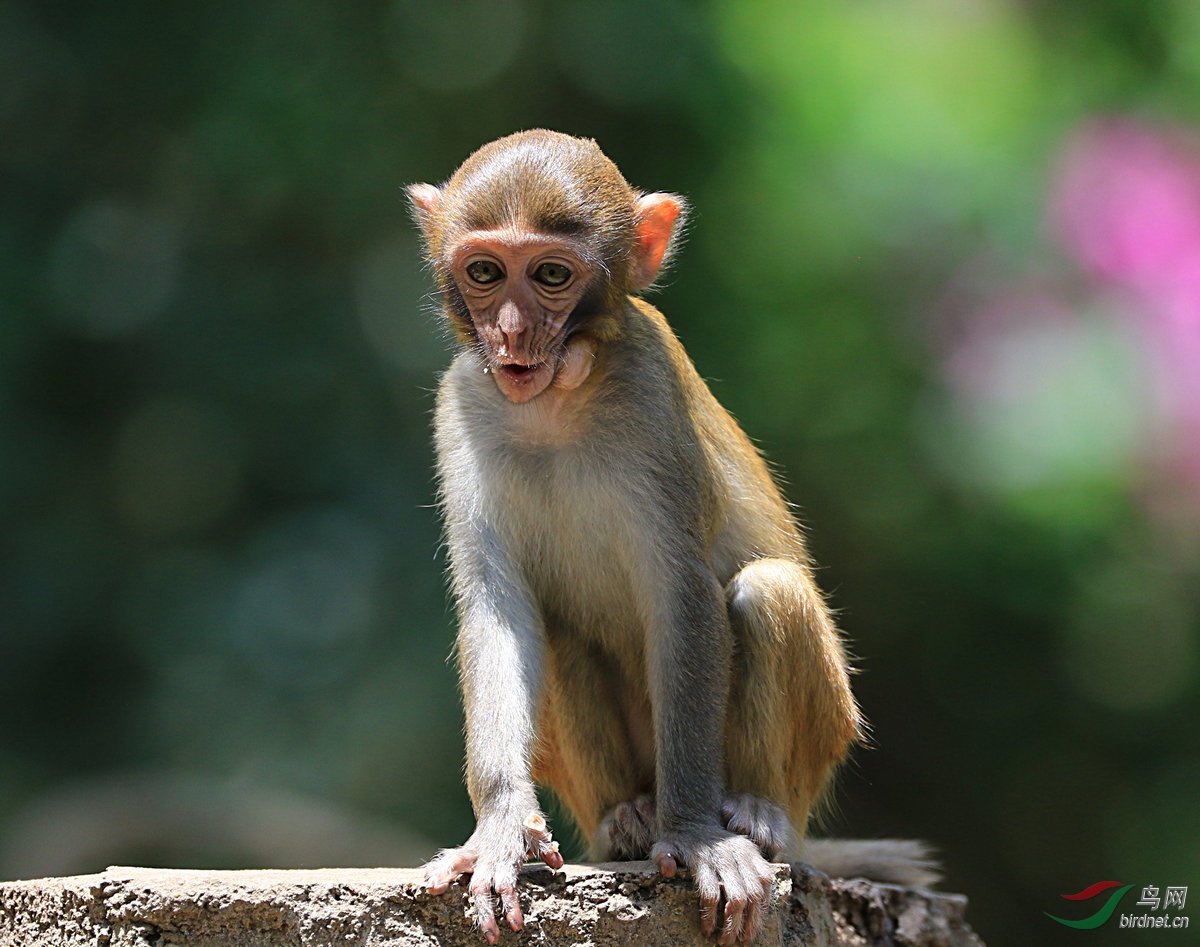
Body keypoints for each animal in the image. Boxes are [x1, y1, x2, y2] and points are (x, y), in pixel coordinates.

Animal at [408, 129, 931, 940]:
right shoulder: (462, 403)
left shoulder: (652, 397)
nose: (512, 332)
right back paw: (626, 817)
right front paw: (498, 830)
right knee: (558, 632)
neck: (557, 400)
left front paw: (693, 837)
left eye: (551, 274)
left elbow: (683, 596)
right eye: (486, 272)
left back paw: (754, 813)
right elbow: (499, 612)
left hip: (822, 744)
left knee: (766, 592)